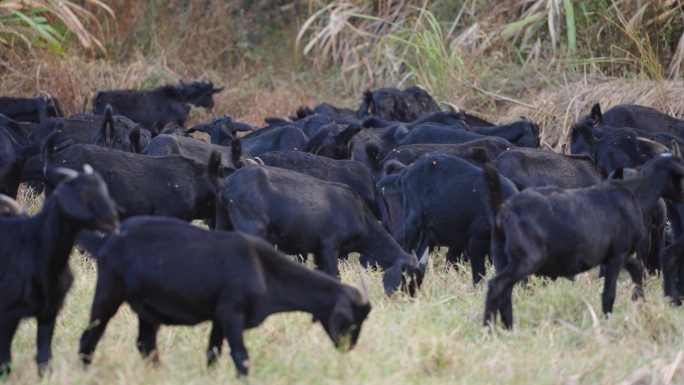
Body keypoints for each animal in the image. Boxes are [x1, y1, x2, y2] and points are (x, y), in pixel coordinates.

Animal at [0, 165, 119, 376]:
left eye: (103, 189)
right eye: (83, 192)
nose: (113, 220)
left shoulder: (49, 312)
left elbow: (44, 359)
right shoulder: (8, 314)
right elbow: (5, 361)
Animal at [77, 216, 372, 376]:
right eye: (353, 321)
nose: (349, 348)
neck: (262, 268)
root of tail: (105, 241)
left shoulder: (218, 318)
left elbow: (213, 353)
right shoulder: (232, 314)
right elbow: (241, 357)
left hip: (146, 308)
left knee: (146, 344)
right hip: (109, 291)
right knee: (90, 336)